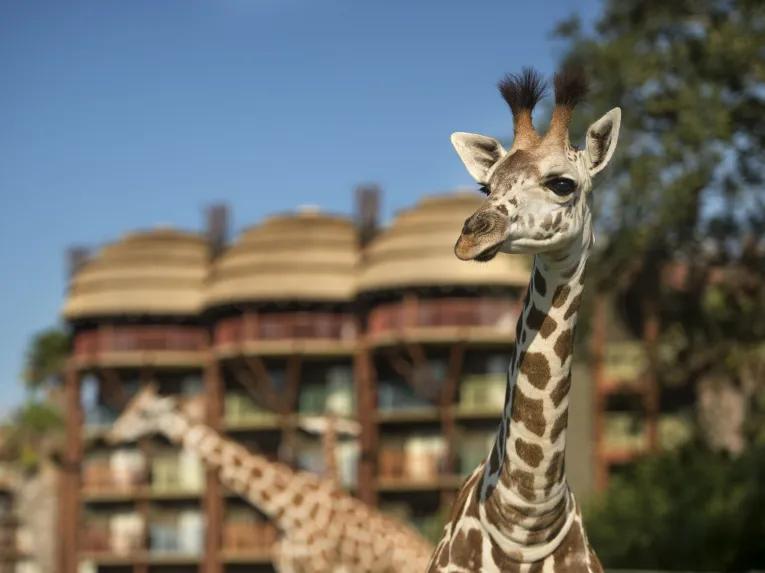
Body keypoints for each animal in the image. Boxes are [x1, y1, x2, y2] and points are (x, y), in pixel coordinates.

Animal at [106, 385, 433, 573]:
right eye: (129, 406)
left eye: (142, 412)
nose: (114, 434)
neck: (291, 509)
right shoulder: (287, 562)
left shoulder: (320, 563)